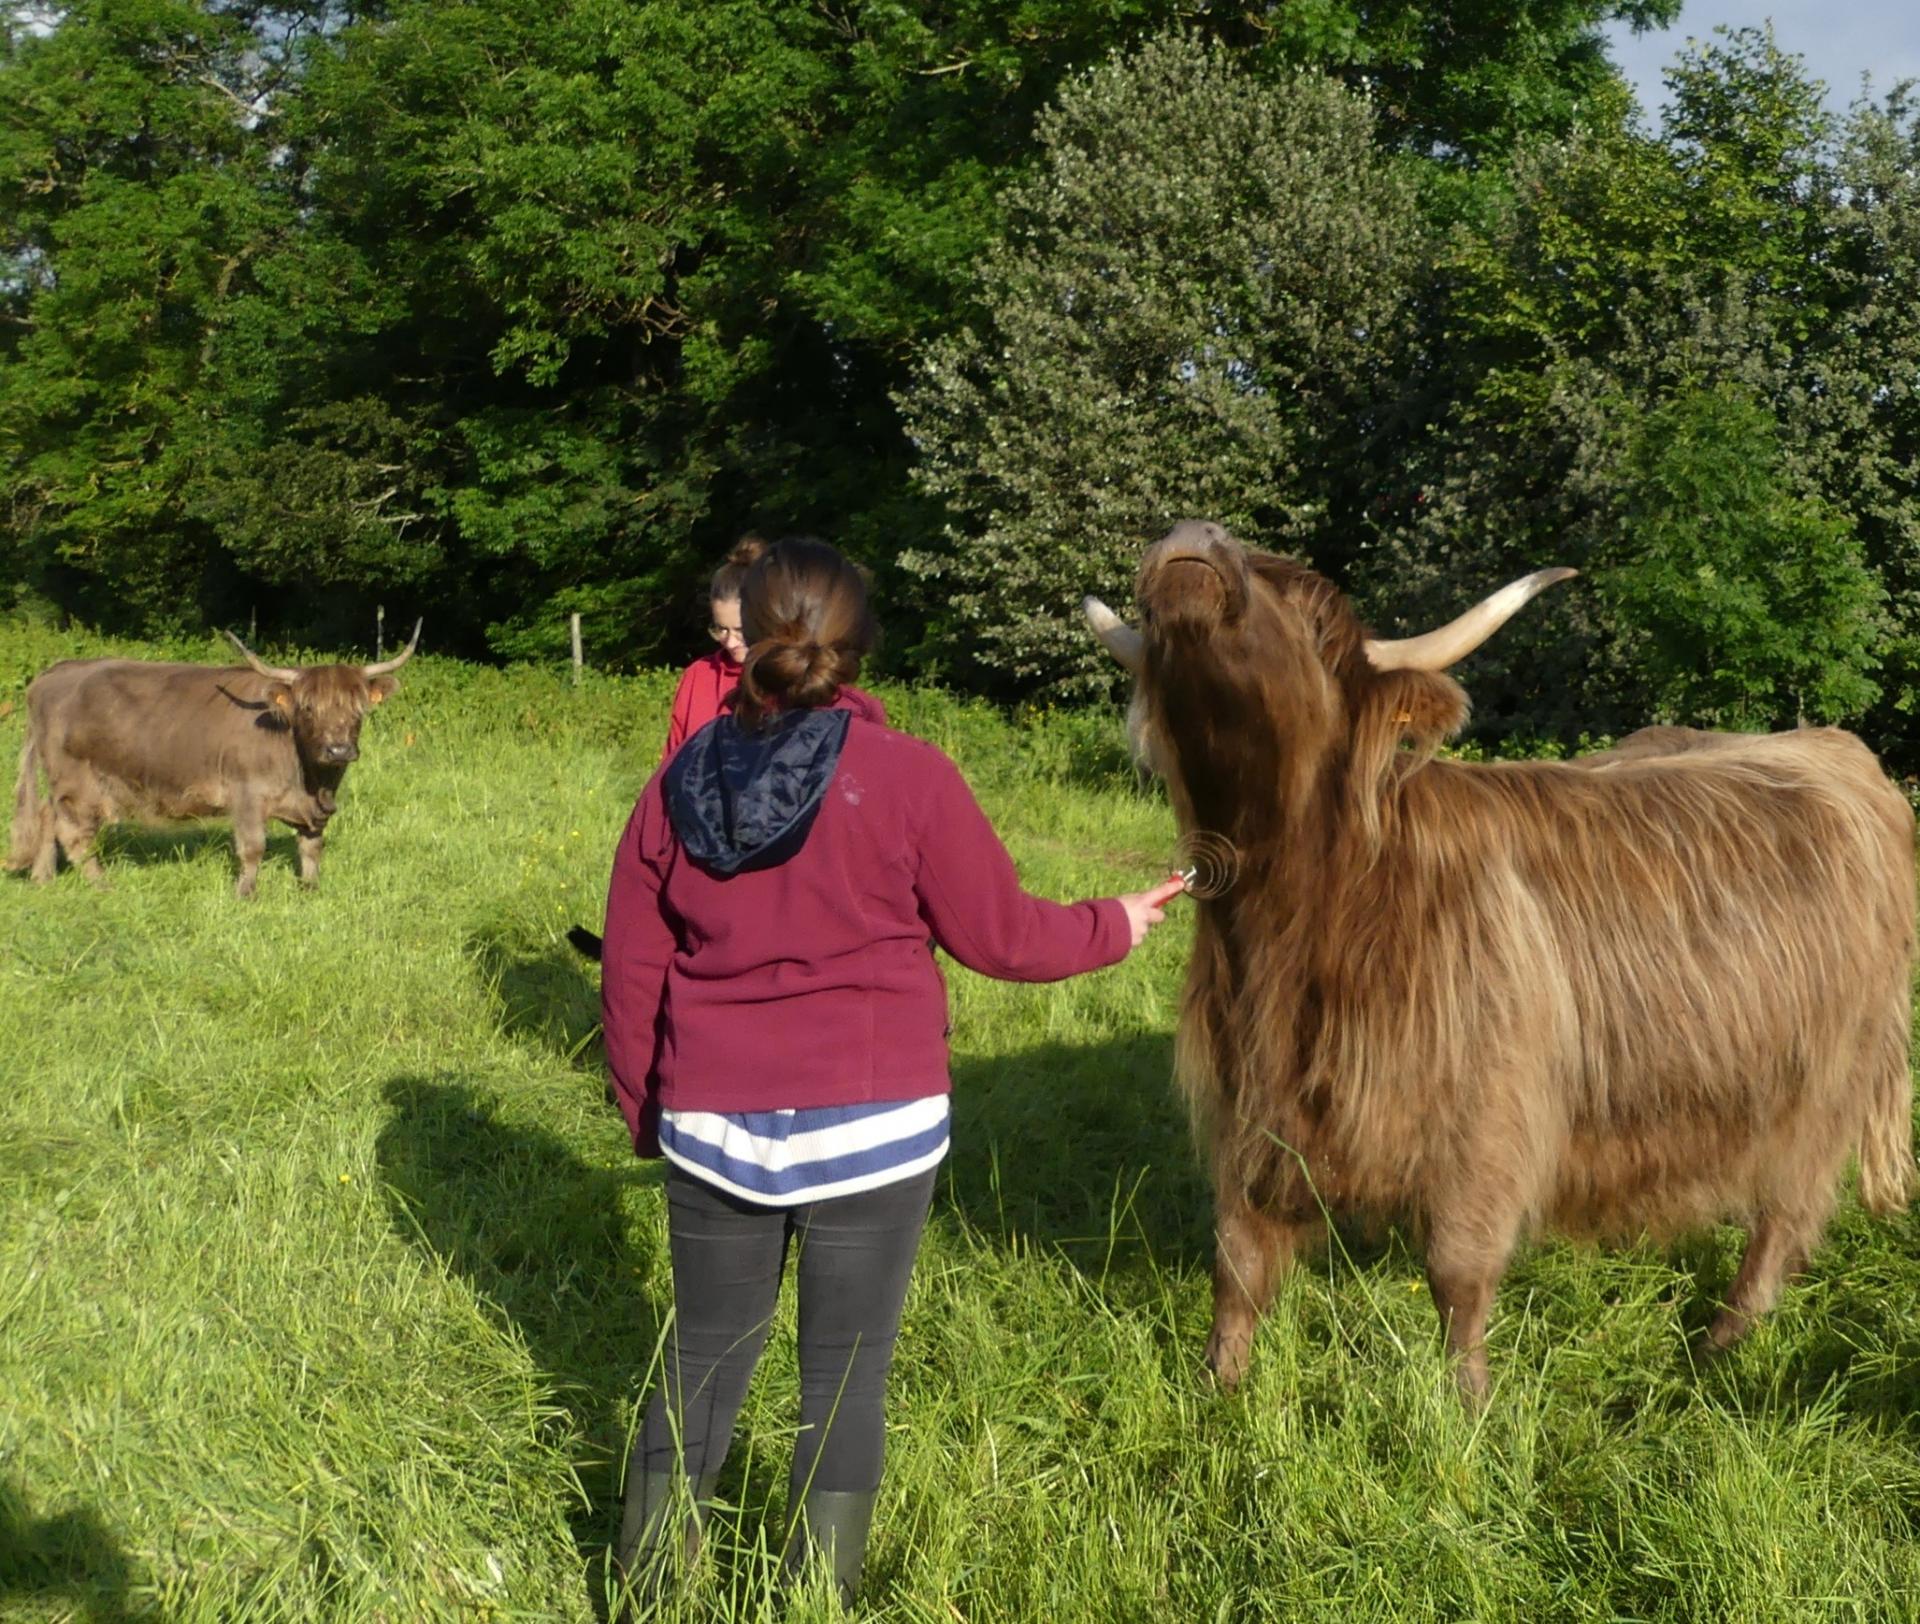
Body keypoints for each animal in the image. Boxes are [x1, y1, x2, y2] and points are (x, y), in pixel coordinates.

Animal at [4, 625, 416, 902]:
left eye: (358, 709)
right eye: (308, 708)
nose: (338, 750)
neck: (310, 781)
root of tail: (53, 673)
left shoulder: (315, 809)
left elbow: (312, 847)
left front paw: (310, 889)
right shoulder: (247, 794)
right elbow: (253, 847)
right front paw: (246, 894)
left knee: (46, 816)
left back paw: (43, 878)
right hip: (77, 781)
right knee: (73, 832)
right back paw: (102, 884)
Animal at [1090, 525, 1912, 1412]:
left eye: (1313, 617)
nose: (1194, 540)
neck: (1300, 921)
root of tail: (1833, 747)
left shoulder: (1487, 1111)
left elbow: (1457, 1270)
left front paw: (1469, 1404)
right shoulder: (1251, 1099)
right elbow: (1237, 1259)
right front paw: (1219, 1385)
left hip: (1827, 1083)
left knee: (1787, 1211)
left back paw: (1724, 1341)